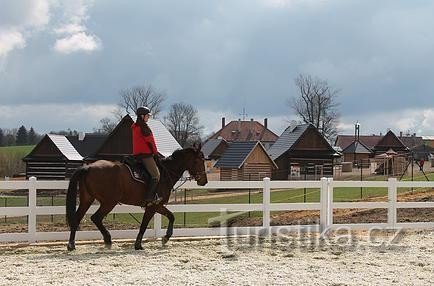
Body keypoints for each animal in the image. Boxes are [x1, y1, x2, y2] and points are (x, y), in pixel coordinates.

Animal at [65, 145, 208, 250]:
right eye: (199, 161)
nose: (204, 181)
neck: (165, 172)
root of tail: (88, 167)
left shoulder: (158, 206)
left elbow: (171, 216)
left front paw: (166, 238)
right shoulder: (153, 206)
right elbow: (144, 225)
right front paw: (139, 244)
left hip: (87, 200)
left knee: (77, 219)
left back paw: (72, 245)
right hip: (109, 202)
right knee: (96, 218)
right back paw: (108, 240)